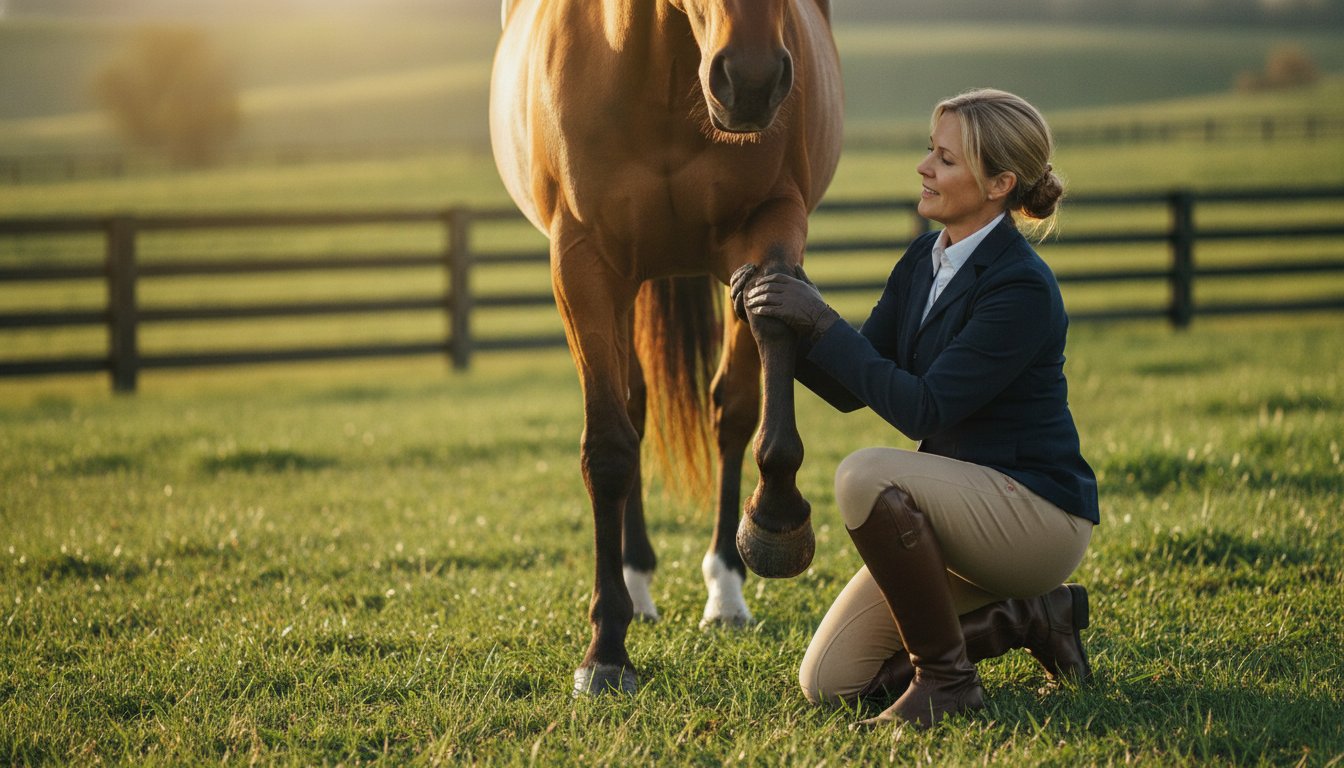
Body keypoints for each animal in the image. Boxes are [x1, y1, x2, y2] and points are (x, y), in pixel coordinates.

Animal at [489, 0, 843, 694]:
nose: (753, 82)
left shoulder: (770, 220)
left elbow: (754, 378)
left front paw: (775, 516)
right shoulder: (583, 263)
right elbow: (608, 447)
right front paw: (605, 649)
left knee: (723, 412)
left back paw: (725, 593)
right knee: (634, 407)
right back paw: (636, 582)